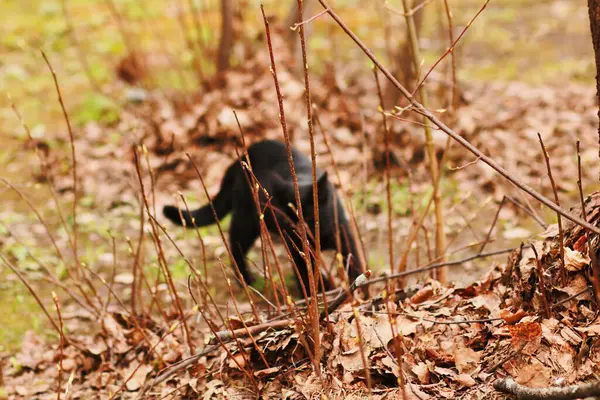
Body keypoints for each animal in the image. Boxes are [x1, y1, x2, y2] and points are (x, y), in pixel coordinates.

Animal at [162, 140, 364, 294]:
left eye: (306, 216)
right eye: (284, 220)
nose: (296, 232)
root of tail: (239, 160)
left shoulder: (344, 236)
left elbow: (355, 265)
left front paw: (361, 292)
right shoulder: (295, 249)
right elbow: (304, 274)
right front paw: (312, 297)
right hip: (245, 223)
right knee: (235, 247)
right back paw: (246, 280)